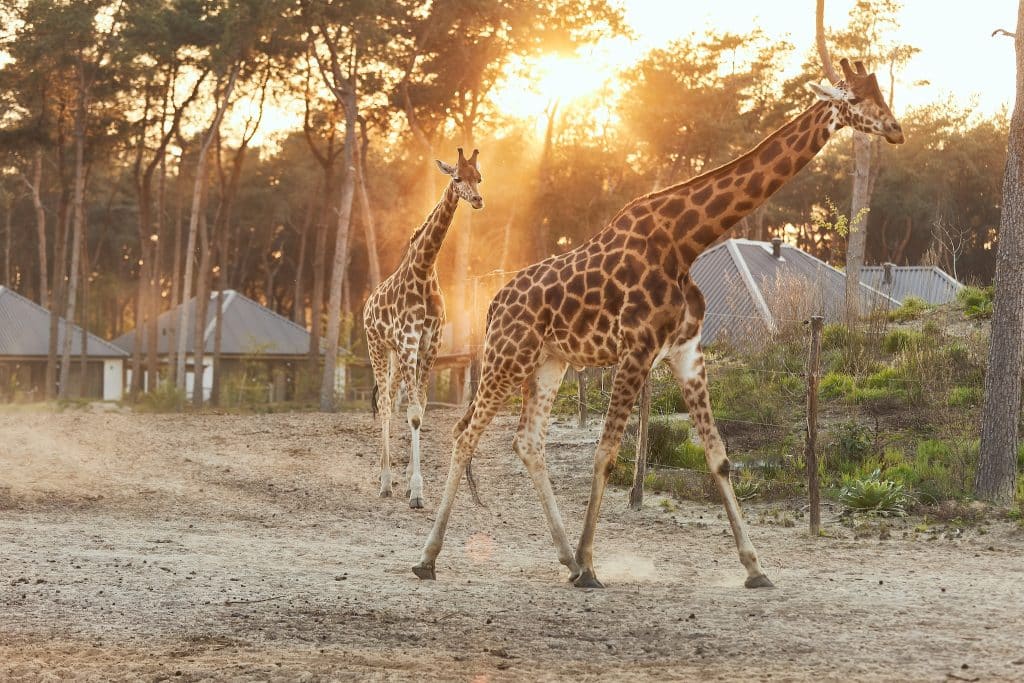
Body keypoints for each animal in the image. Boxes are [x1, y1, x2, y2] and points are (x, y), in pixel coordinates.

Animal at [363, 147, 483, 509]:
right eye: (456, 177)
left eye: (479, 177)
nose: (478, 199)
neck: (425, 269)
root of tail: (366, 306)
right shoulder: (408, 341)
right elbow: (414, 413)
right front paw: (416, 492)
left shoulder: (429, 345)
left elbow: (421, 411)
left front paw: (412, 485)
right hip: (377, 346)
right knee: (385, 406)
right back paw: (385, 482)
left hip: (397, 355)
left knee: (391, 400)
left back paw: (392, 479)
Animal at [412, 59, 903, 587]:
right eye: (856, 99)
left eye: (881, 94)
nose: (896, 129)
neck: (685, 241)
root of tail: (493, 304)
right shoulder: (637, 349)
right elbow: (606, 453)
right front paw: (591, 565)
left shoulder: (686, 351)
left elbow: (718, 456)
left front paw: (756, 567)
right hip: (508, 357)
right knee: (466, 434)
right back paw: (428, 559)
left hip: (548, 362)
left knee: (527, 442)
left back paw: (563, 558)